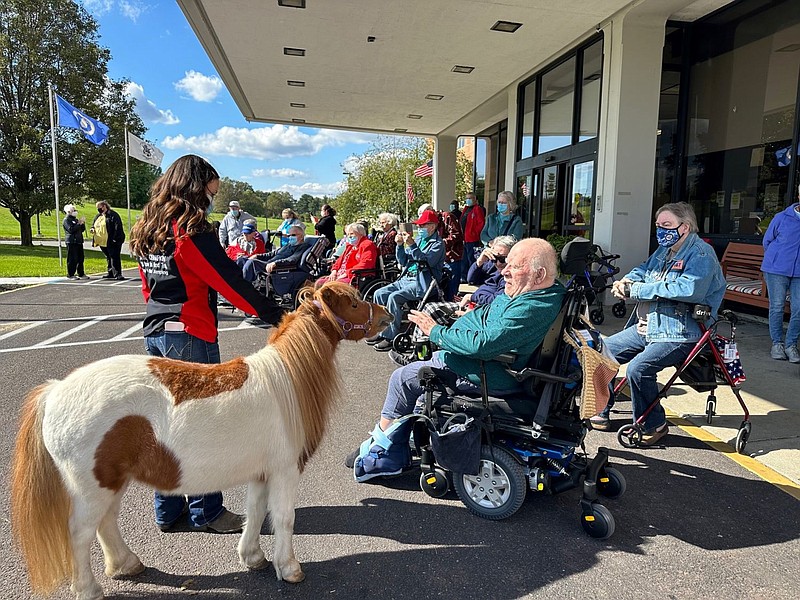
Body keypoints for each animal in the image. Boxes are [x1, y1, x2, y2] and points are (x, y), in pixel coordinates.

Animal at [9, 282, 390, 600]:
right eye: (354, 303)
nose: (387, 316)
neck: (285, 380)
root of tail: (56, 390)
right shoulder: (284, 471)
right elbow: (283, 518)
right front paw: (290, 569)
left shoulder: (261, 473)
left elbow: (256, 512)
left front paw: (253, 557)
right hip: (92, 488)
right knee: (80, 533)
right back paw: (89, 589)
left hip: (112, 481)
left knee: (106, 523)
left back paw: (126, 564)